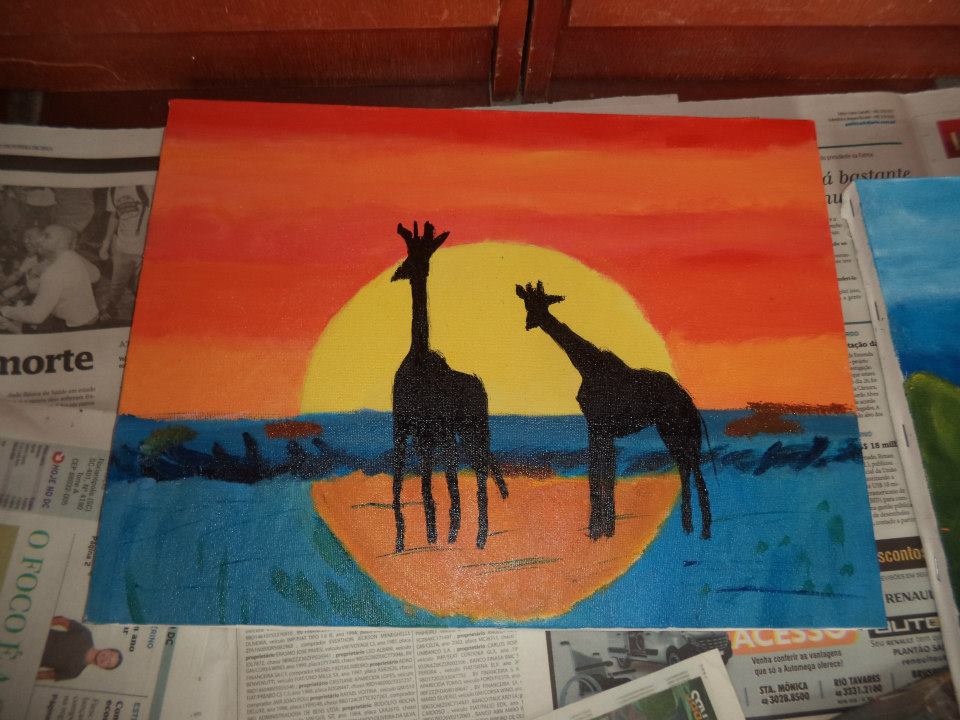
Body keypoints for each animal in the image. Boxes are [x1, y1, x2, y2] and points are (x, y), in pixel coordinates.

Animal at [391, 221, 508, 553]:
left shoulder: (436, 431)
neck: (418, 358)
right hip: (462, 432)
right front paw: (409, 539)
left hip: (475, 428)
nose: (399, 272)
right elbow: (409, 481)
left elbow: (445, 481)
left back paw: (478, 537)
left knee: (479, 472)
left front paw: (444, 535)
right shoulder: (407, 429)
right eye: (409, 256)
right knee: (471, 471)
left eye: (421, 258)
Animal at [515, 281, 712, 540]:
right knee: (684, 465)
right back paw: (688, 526)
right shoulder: (598, 427)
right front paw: (603, 528)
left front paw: (599, 531)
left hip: (678, 428)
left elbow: (601, 472)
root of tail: (688, 399)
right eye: (527, 303)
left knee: (693, 466)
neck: (587, 366)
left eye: (541, 303)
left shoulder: (599, 424)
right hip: (669, 430)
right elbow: (601, 471)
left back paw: (705, 529)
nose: (529, 323)